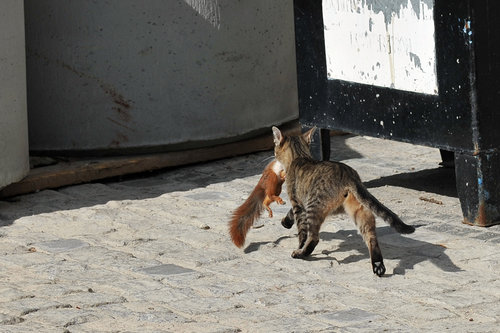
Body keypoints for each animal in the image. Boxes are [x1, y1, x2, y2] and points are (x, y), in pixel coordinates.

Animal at [272, 124, 416, 274]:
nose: (273, 154)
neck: (299, 156)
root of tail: (348, 174)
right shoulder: (300, 202)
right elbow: (290, 213)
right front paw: (286, 221)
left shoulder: (298, 203)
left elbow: (301, 231)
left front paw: (299, 244)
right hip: (360, 210)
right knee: (371, 237)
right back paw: (378, 265)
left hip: (314, 206)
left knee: (314, 237)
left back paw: (301, 253)